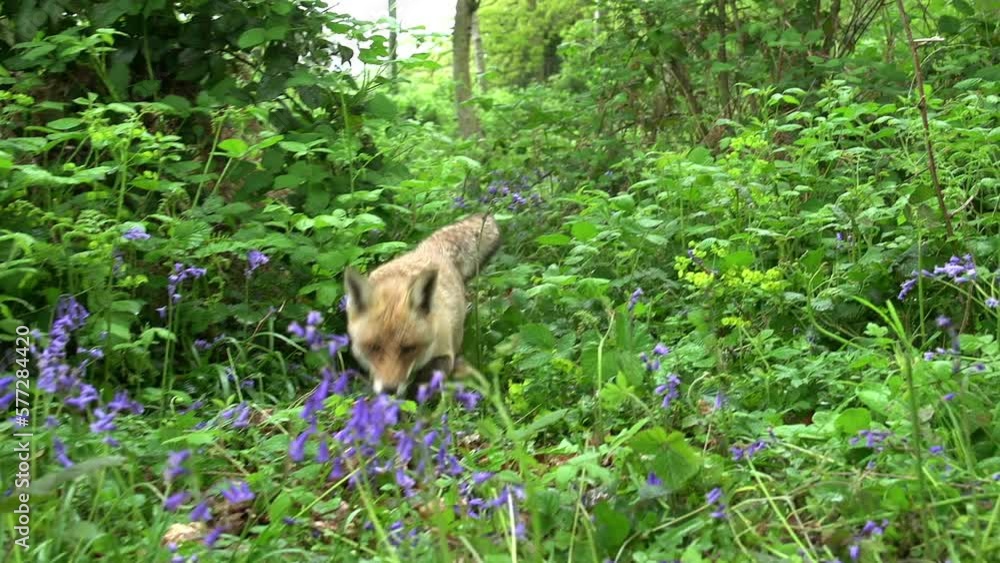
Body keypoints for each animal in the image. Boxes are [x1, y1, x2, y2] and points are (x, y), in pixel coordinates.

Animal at [343, 213, 501, 396]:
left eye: (409, 348)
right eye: (373, 347)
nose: (389, 390)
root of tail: (429, 250)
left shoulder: (445, 354)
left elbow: (425, 382)